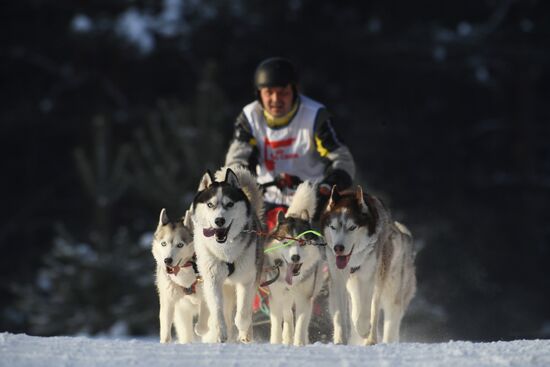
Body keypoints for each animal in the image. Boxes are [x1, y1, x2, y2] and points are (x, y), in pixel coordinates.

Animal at [152, 210, 210, 344]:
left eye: (180, 245)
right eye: (163, 244)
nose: (167, 260)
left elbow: (203, 320)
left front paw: (201, 330)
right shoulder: (168, 301)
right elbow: (165, 330)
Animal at [192, 167, 266, 344]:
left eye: (230, 204)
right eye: (210, 204)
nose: (219, 220)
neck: (226, 251)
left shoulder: (247, 280)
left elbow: (243, 315)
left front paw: (243, 331)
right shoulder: (212, 279)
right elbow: (218, 310)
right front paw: (220, 332)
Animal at [266, 183, 326, 346]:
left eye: (303, 242)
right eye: (286, 242)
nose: (295, 257)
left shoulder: (304, 298)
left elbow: (301, 325)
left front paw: (299, 344)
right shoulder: (276, 297)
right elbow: (277, 325)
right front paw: (277, 342)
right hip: (285, 297)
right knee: (287, 315)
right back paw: (287, 337)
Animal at [322, 188, 416, 346]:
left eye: (352, 227)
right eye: (333, 227)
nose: (338, 248)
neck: (353, 262)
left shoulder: (368, 279)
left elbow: (365, 314)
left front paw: (363, 330)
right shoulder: (338, 280)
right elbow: (340, 314)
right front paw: (340, 340)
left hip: (388, 289)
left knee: (383, 314)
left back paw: (375, 339)